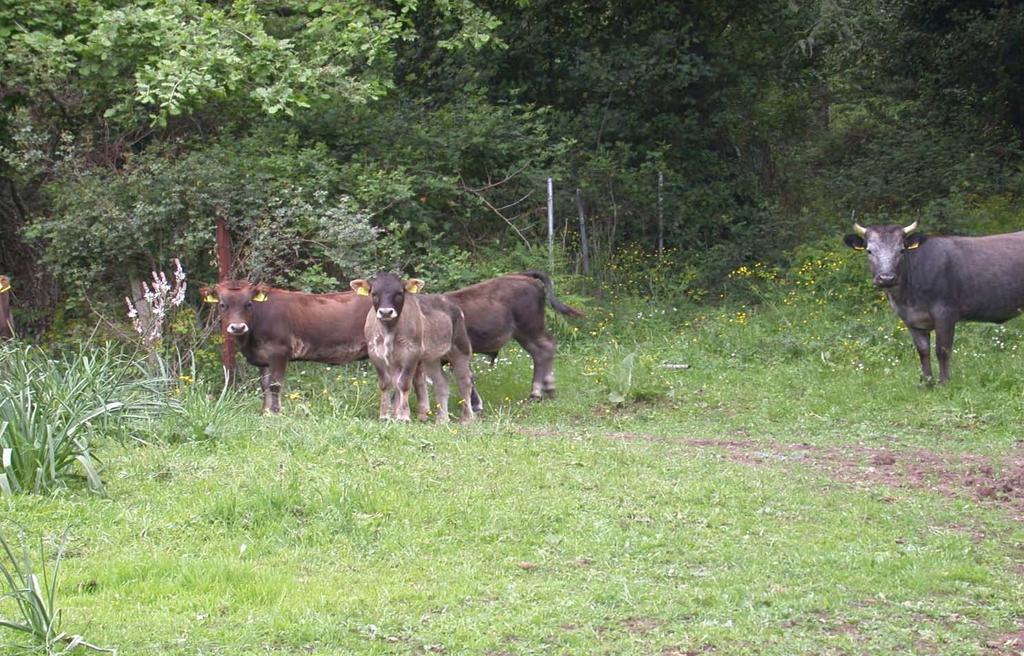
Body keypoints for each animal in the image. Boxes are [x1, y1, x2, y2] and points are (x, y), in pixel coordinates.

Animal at [197, 278, 370, 411]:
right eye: (222, 304)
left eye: (248, 303)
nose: (238, 327)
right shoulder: (264, 358)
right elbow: (264, 385)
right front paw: (265, 412)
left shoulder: (279, 351)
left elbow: (274, 384)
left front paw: (275, 412)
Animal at [352, 272, 475, 421]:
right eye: (374, 293)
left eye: (399, 292)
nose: (386, 312)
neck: (389, 333)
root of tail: (451, 304)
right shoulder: (376, 353)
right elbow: (386, 383)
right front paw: (385, 415)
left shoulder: (411, 353)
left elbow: (403, 384)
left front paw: (403, 416)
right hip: (431, 359)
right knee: (441, 383)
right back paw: (442, 419)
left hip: (461, 347)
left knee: (464, 381)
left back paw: (467, 418)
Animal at [847, 221, 1024, 380]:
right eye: (869, 251)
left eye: (901, 250)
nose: (887, 278)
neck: (908, 298)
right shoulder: (911, 319)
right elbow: (923, 351)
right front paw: (927, 382)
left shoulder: (945, 312)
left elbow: (942, 350)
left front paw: (944, 382)